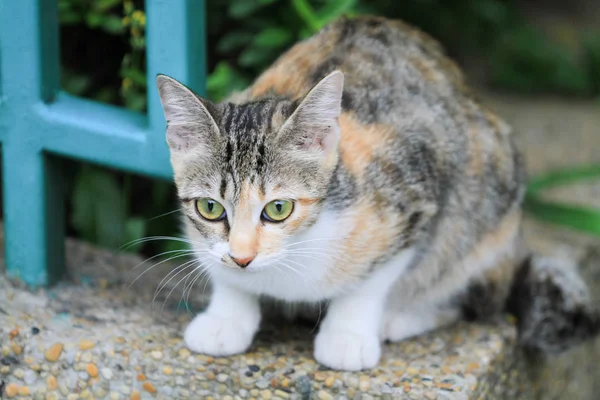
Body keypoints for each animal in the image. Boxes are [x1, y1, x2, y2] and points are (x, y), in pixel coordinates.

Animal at [156, 16, 600, 372]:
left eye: (278, 208)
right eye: (210, 207)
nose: (243, 257)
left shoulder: (414, 199)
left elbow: (373, 278)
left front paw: (348, 334)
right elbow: (220, 269)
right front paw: (227, 316)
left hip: (487, 203)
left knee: (473, 294)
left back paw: (402, 315)